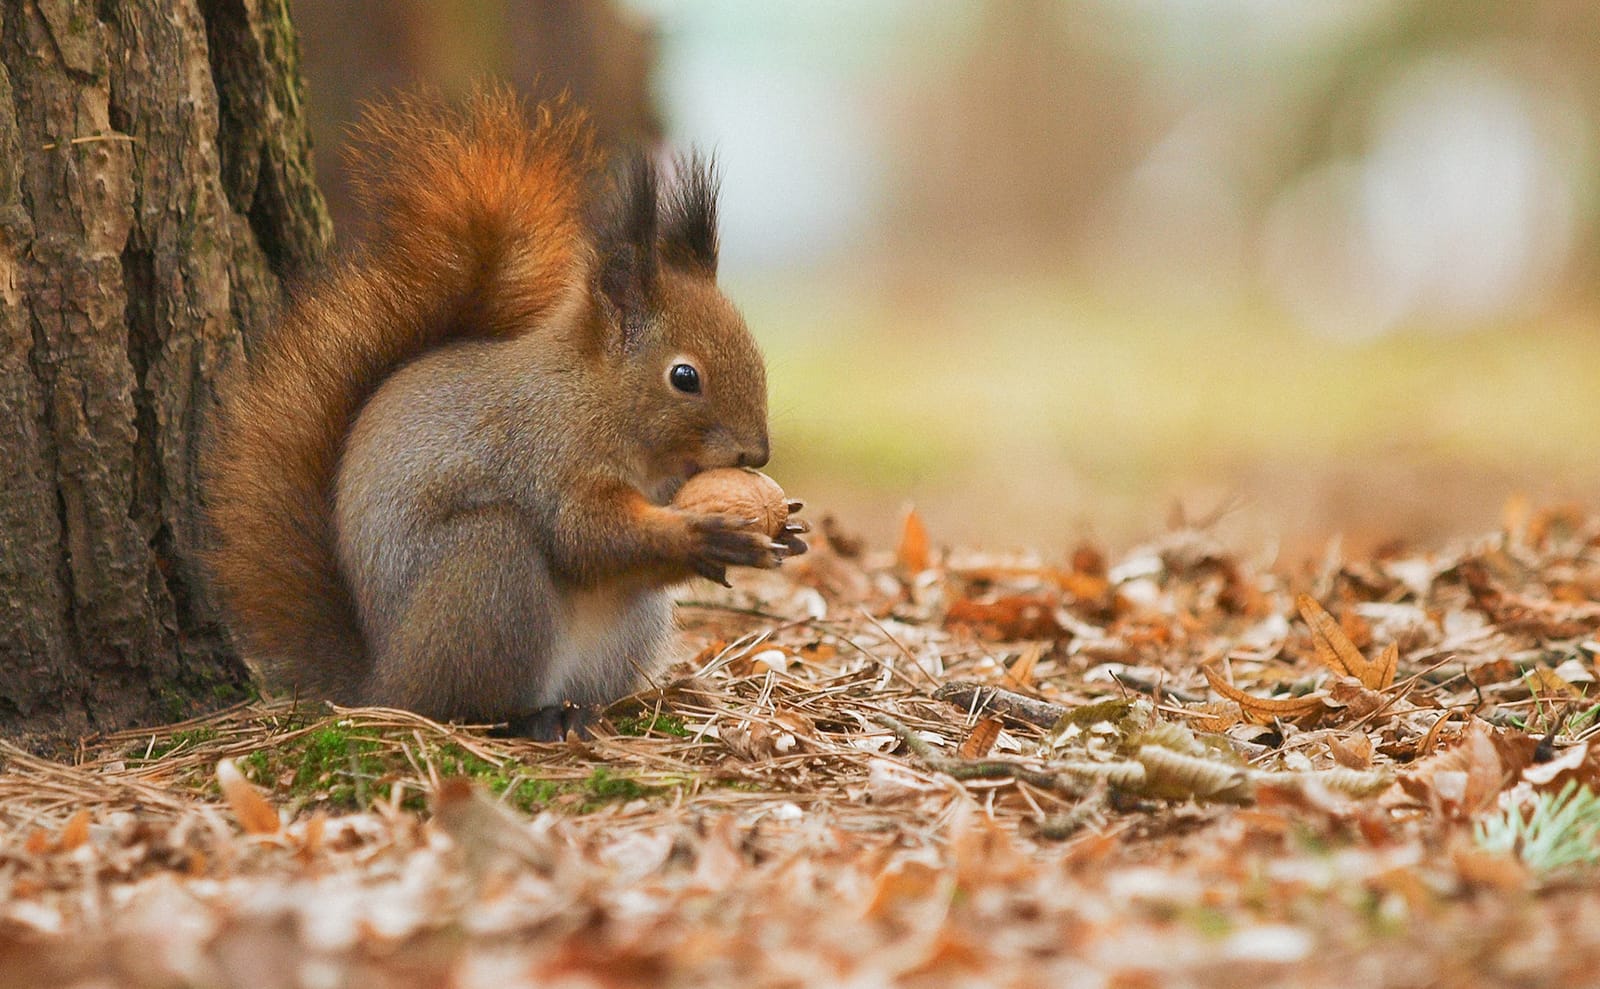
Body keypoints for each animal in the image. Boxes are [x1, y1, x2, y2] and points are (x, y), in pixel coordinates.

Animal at [206, 86, 806, 732]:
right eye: (685, 377)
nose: (758, 453)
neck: (595, 398)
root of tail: (378, 682)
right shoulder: (549, 454)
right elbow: (585, 536)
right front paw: (701, 535)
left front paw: (784, 529)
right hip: (487, 575)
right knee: (465, 700)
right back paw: (531, 719)